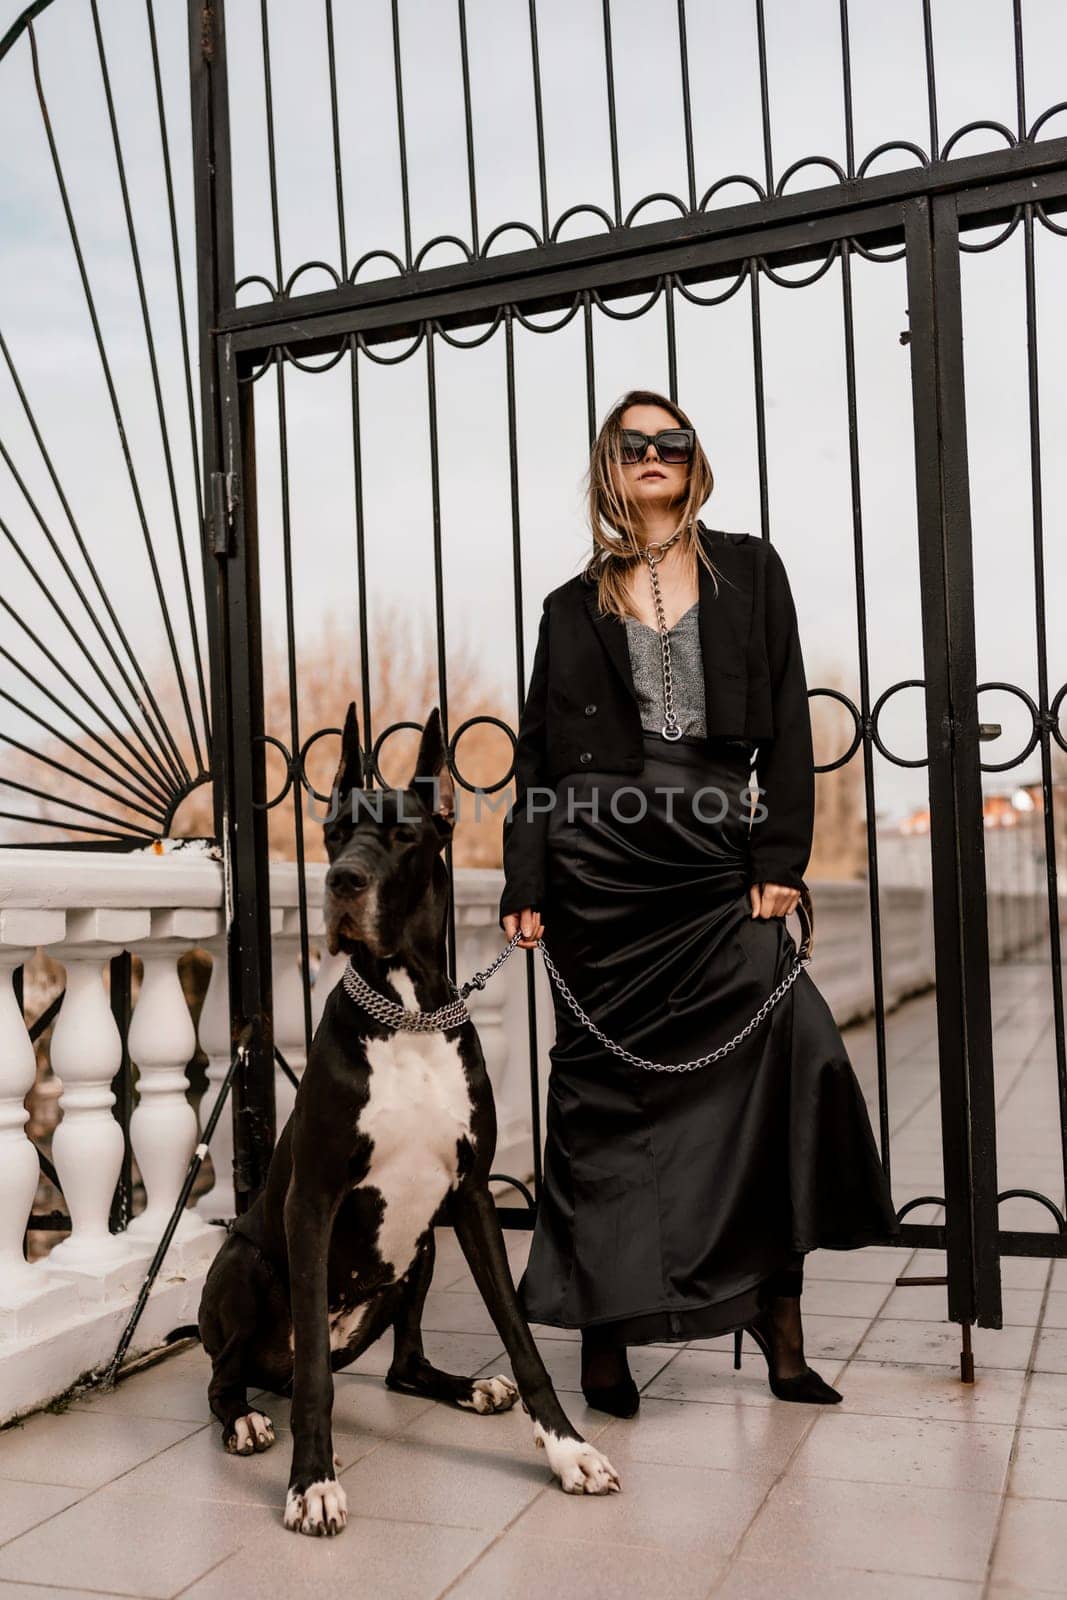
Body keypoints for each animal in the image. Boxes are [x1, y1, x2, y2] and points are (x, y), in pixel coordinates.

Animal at [197, 707, 620, 1529]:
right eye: (332, 833)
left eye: (403, 836)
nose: (341, 883)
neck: (409, 1015)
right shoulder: (311, 1201)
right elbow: (315, 1379)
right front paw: (312, 1481)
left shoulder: (473, 1196)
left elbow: (519, 1334)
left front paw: (569, 1450)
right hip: (246, 1266)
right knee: (230, 1374)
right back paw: (247, 1420)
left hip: (420, 1246)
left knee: (402, 1366)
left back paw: (467, 1387)